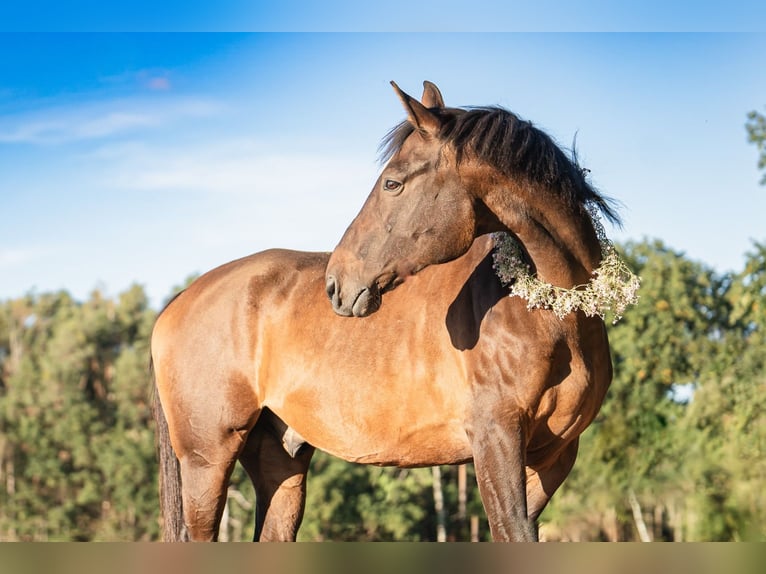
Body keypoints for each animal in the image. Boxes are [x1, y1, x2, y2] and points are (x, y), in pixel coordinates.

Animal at [153, 81, 620, 544]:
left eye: (392, 183)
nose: (336, 283)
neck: (552, 316)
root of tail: (176, 302)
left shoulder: (554, 456)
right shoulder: (496, 440)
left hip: (281, 465)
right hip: (207, 459)